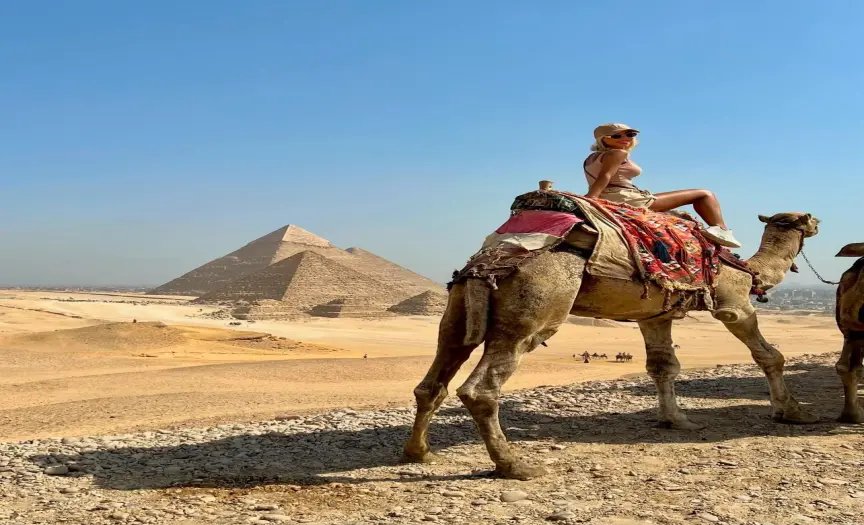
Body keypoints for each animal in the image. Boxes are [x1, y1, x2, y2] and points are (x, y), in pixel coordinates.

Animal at [402, 211, 820, 480]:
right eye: (806, 217)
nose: (818, 222)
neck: (751, 271)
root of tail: (489, 260)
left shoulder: (655, 315)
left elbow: (663, 367)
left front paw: (677, 420)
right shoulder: (733, 304)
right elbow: (769, 354)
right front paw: (792, 412)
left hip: (458, 307)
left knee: (436, 375)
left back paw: (419, 452)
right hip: (535, 305)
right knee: (481, 388)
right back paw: (514, 466)